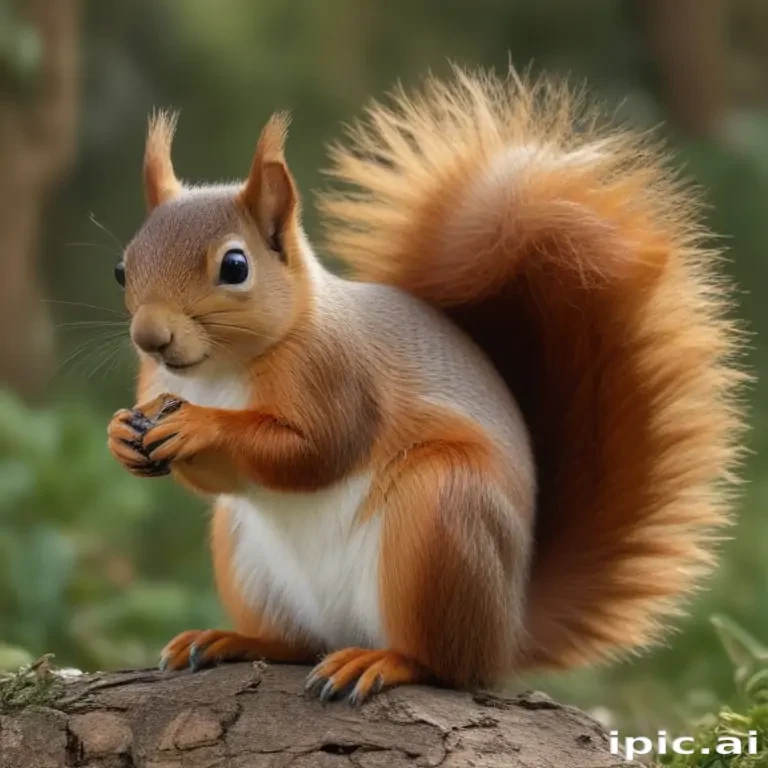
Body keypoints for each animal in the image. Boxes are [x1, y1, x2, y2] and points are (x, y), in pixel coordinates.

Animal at [107, 67, 745, 704]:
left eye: (235, 267)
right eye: (122, 267)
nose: (150, 337)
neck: (220, 370)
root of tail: (505, 632)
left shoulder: (338, 376)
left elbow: (315, 451)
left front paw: (201, 425)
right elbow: (218, 475)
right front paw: (120, 435)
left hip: (440, 515)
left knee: (443, 665)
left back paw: (382, 662)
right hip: (246, 552)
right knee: (301, 642)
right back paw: (236, 640)